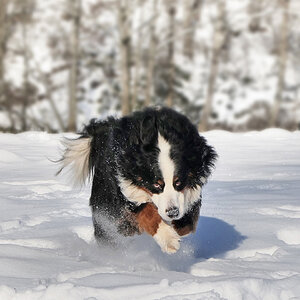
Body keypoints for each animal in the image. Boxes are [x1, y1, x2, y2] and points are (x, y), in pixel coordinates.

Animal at [57, 107, 217, 253]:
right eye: (156, 184)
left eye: (178, 182)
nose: (172, 212)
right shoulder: (124, 187)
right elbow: (146, 211)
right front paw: (168, 239)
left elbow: (189, 223)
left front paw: (176, 229)